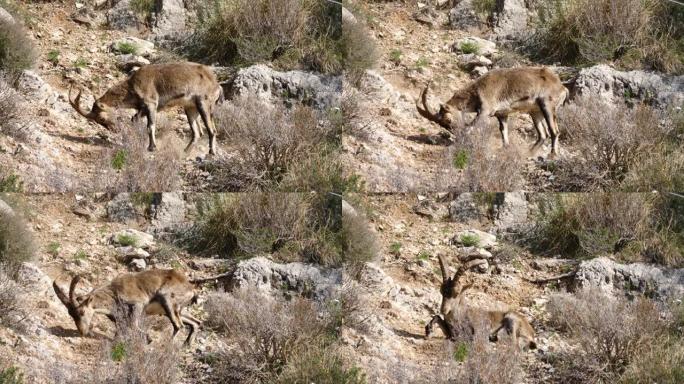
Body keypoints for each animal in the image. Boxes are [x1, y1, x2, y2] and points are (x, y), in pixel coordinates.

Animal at [69, 61, 222, 154]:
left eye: (101, 117)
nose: (114, 129)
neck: (132, 87)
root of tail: (217, 85)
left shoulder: (151, 104)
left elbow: (150, 126)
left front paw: (152, 147)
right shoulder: (142, 109)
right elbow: (134, 120)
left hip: (203, 103)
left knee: (212, 130)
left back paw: (211, 152)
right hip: (190, 108)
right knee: (197, 133)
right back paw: (185, 152)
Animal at [416, 66, 568, 156]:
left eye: (448, 119)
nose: (455, 131)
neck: (477, 91)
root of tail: (562, 87)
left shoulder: (485, 111)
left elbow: (471, 127)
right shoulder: (502, 114)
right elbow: (503, 131)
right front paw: (505, 148)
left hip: (547, 105)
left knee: (554, 131)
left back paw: (553, 154)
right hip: (535, 112)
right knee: (543, 134)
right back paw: (528, 153)